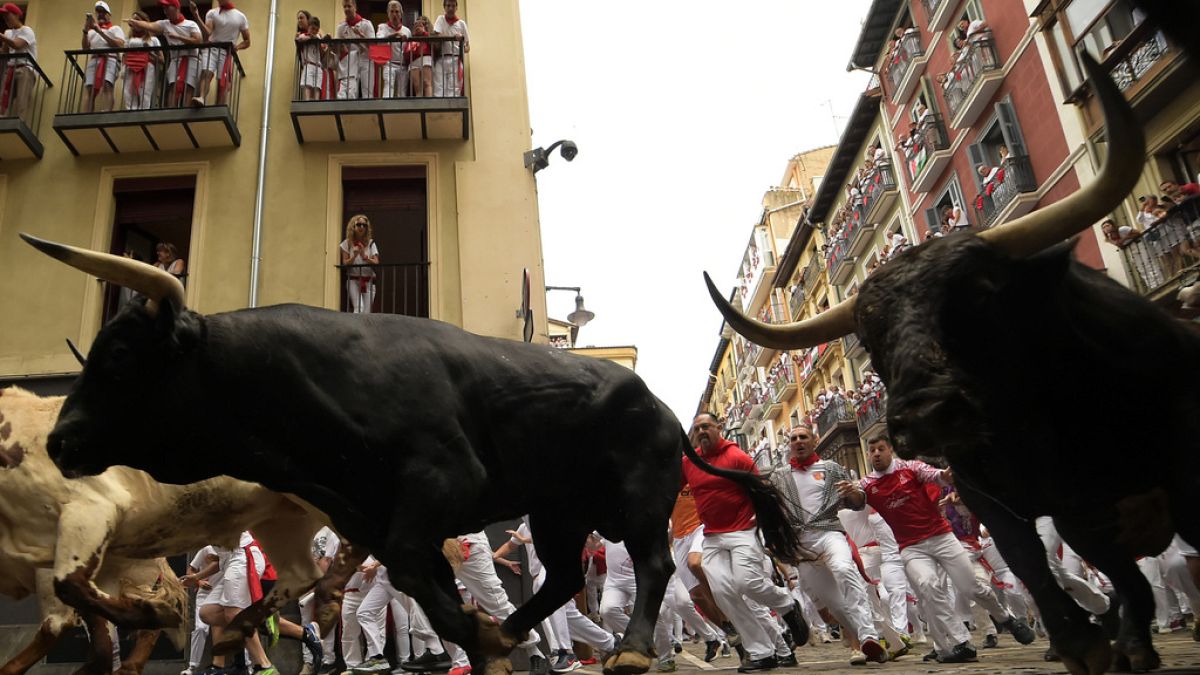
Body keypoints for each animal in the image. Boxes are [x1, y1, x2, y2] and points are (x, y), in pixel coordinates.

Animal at [11, 248, 806, 675]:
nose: (59, 440)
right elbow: (421, 578)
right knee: (562, 576)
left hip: (639, 498)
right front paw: (483, 639)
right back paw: (514, 630)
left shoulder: (440, 484)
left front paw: (476, 637)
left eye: (119, 355)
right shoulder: (376, 513)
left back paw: (634, 648)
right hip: (556, 510)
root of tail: (666, 410)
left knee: (654, 564)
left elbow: (418, 575)